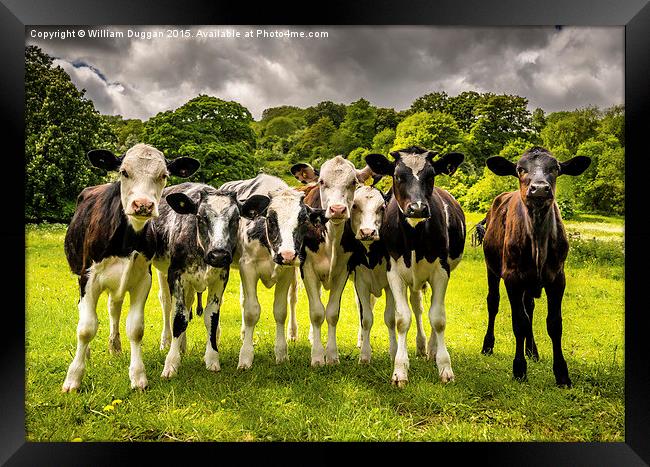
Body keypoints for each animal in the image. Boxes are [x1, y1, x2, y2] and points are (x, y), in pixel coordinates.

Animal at [64, 144, 200, 392]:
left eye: (163, 175)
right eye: (124, 172)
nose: (143, 205)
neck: (127, 239)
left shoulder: (142, 279)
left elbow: (136, 329)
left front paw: (138, 377)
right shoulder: (89, 277)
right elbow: (86, 328)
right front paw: (73, 378)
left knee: (114, 307)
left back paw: (115, 346)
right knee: (85, 310)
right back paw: (88, 353)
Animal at [219, 175, 326, 370]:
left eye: (303, 220)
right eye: (270, 219)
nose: (287, 254)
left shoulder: (286, 272)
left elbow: (280, 311)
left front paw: (282, 353)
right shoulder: (247, 267)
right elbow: (251, 311)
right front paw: (245, 357)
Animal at [364, 147, 466, 388]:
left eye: (431, 175)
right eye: (398, 176)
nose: (417, 208)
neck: (414, 238)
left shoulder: (441, 272)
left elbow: (438, 318)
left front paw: (445, 367)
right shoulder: (394, 273)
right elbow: (403, 319)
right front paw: (400, 370)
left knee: (428, 311)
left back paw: (430, 348)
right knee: (417, 306)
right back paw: (420, 346)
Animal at [474, 147, 588, 388]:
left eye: (555, 168)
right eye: (520, 169)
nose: (539, 188)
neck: (537, 241)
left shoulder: (557, 278)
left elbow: (554, 323)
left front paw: (562, 374)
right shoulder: (513, 278)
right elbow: (519, 321)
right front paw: (519, 369)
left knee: (530, 308)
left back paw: (532, 350)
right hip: (492, 268)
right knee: (493, 303)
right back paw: (488, 345)